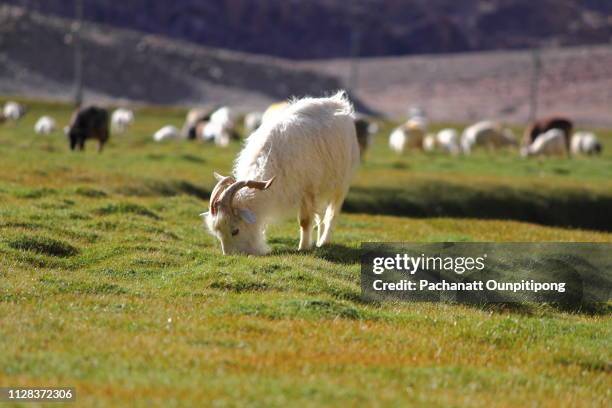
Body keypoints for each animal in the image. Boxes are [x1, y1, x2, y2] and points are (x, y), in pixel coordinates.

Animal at [203, 91, 360, 255]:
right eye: (218, 233)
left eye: (235, 231)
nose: (230, 255)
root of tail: (338, 100)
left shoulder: (307, 189)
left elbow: (305, 221)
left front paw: (303, 248)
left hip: (341, 184)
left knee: (332, 214)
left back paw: (324, 241)